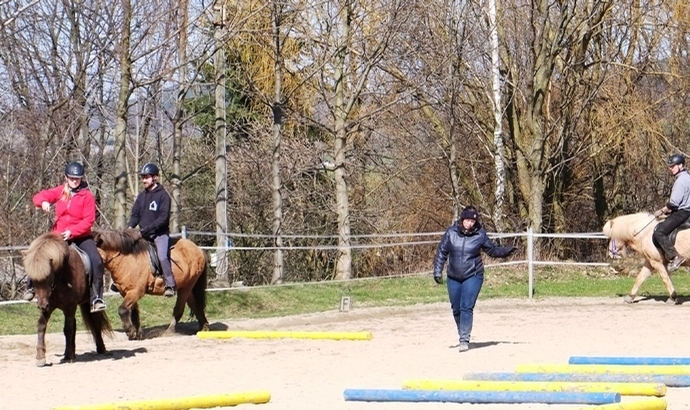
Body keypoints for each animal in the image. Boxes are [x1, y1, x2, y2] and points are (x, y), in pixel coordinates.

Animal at [21, 232, 111, 366]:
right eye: (33, 279)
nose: (41, 305)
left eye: (48, 277)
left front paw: (68, 356)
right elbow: (42, 325)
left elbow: (68, 329)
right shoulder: (49, 305)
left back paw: (100, 348)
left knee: (95, 321)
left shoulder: (70, 306)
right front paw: (40, 357)